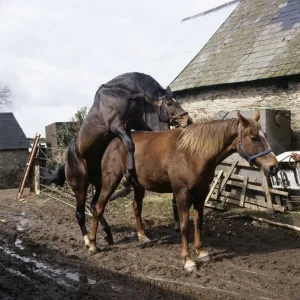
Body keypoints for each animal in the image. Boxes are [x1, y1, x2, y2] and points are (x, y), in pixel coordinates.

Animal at [54, 71, 190, 247]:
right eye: (169, 103)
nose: (187, 120)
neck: (123, 92)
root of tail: (66, 163)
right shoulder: (117, 126)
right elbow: (130, 144)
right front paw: (128, 176)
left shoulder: (136, 122)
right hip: (80, 187)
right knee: (80, 213)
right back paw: (88, 241)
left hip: (99, 182)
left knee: (94, 205)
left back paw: (107, 234)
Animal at [87, 110, 278, 272]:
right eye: (253, 138)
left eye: (264, 136)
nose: (274, 167)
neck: (194, 153)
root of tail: (113, 142)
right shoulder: (182, 193)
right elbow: (185, 226)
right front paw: (188, 261)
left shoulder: (201, 193)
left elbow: (199, 222)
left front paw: (202, 252)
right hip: (110, 182)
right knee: (98, 208)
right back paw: (92, 244)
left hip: (138, 185)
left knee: (136, 208)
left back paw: (142, 236)